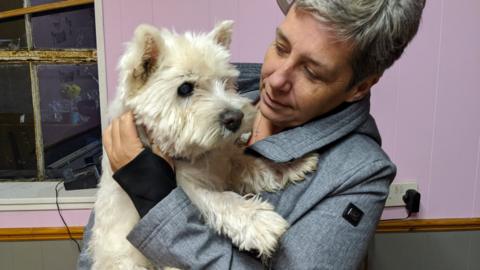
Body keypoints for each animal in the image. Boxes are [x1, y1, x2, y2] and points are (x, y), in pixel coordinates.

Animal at [89, 20, 318, 268]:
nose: (235, 118)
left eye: (225, 82)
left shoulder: (225, 161)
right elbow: (222, 199)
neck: (194, 154)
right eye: (185, 88)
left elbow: (255, 165)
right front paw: (260, 221)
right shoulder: (187, 187)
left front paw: (295, 165)